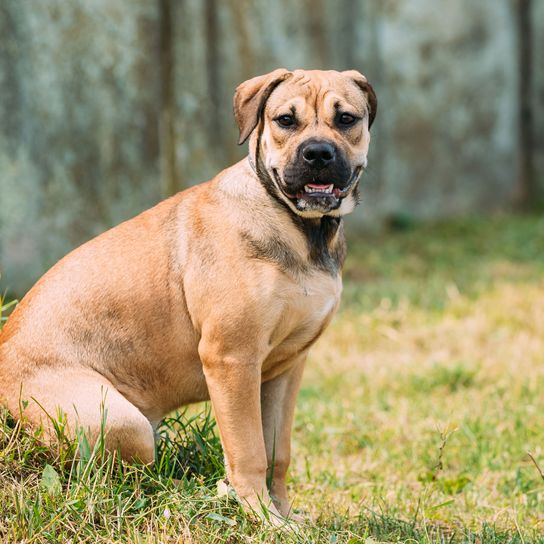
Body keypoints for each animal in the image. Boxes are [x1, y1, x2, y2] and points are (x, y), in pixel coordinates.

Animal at [0, 69, 374, 524]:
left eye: (346, 119)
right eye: (285, 120)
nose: (318, 153)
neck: (301, 229)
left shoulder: (286, 368)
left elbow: (277, 452)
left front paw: (284, 513)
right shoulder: (231, 360)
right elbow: (250, 451)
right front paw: (262, 517)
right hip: (120, 422)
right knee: (115, 479)